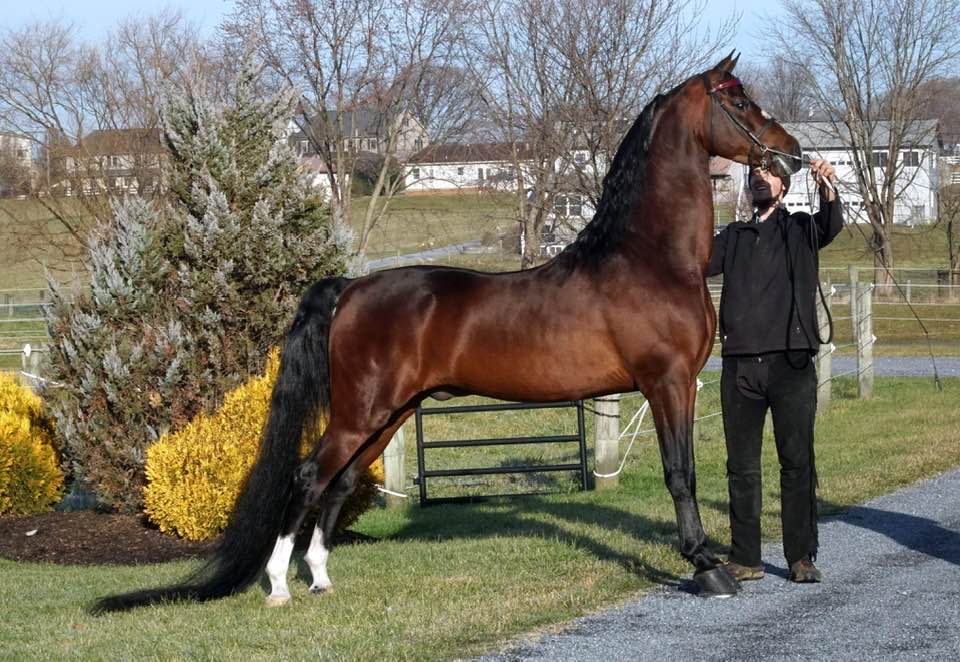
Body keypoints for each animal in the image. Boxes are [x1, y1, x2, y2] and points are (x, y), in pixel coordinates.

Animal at [93, 52, 801, 613]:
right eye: (740, 102)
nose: (792, 156)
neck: (646, 256)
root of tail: (349, 290)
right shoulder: (666, 383)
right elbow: (681, 473)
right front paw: (705, 565)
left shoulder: (673, 385)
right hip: (360, 412)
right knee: (307, 476)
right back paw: (279, 586)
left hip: (388, 414)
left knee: (340, 483)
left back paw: (320, 578)